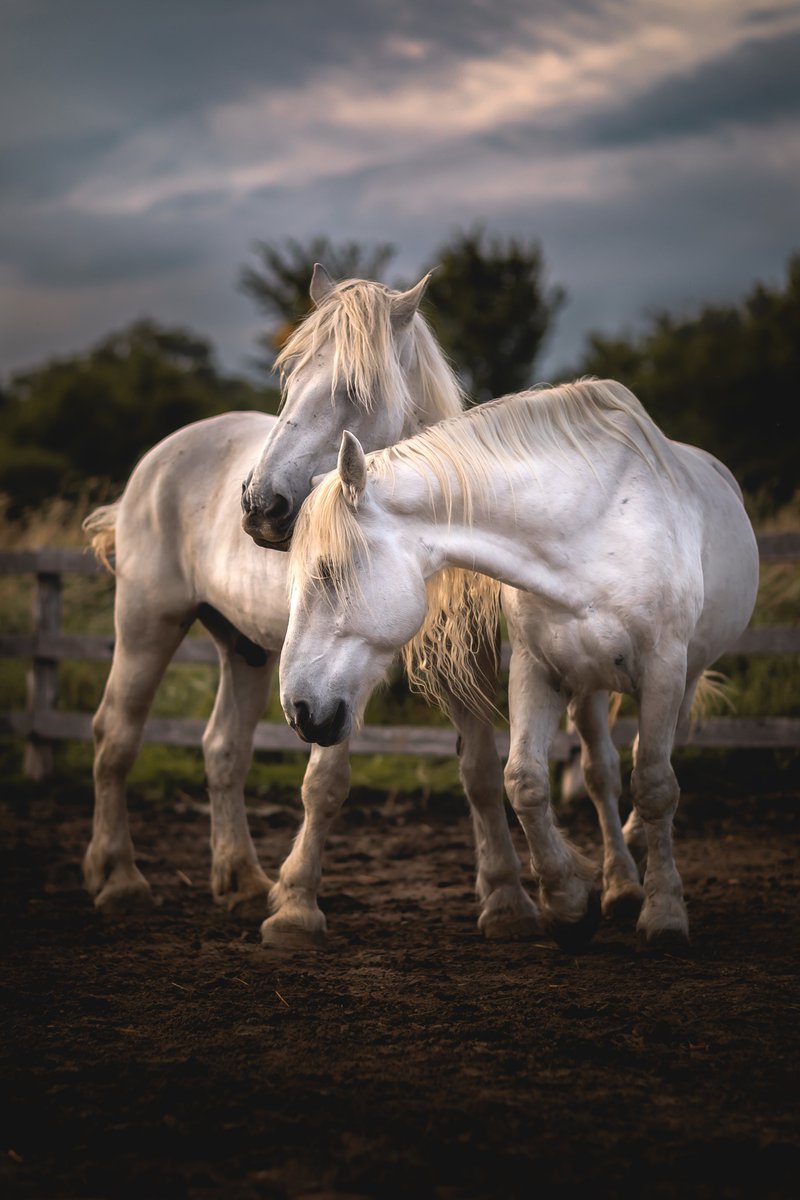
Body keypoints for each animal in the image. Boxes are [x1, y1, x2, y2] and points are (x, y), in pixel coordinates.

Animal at [82, 267, 542, 947]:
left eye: (354, 388)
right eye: (289, 377)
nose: (259, 506)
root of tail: (160, 458)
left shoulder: (464, 663)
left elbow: (482, 772)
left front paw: (507, 901)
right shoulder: (337, 672)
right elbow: (325, 784)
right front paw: (296, 907)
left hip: (244, 648)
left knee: (223, 750)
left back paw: (242, 881)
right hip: (147, 625)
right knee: (115, 735)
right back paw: (118, 878)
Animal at [279, 380, 760, 950]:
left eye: (329, 571)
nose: (298, 709)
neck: (592, 530)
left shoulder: (664, 668)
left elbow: (655, 784)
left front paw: (664, 913)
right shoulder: (537, 670)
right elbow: (524, 781)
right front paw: (568, 903)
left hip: (682, 680)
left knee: (646, 768)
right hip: (590, 688)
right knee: (601, 772)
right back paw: (621, 884)